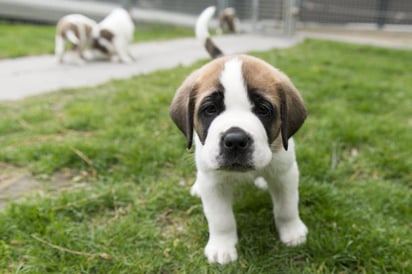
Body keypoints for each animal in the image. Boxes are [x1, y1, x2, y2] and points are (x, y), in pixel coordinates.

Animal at [169, 5, 308, 264]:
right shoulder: (214, 183)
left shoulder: (285, 173)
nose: (235, 141)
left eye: (263, 109)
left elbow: (287, 207)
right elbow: (221, 219)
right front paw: (222, 247)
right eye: (210, 109)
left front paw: (292, 231)